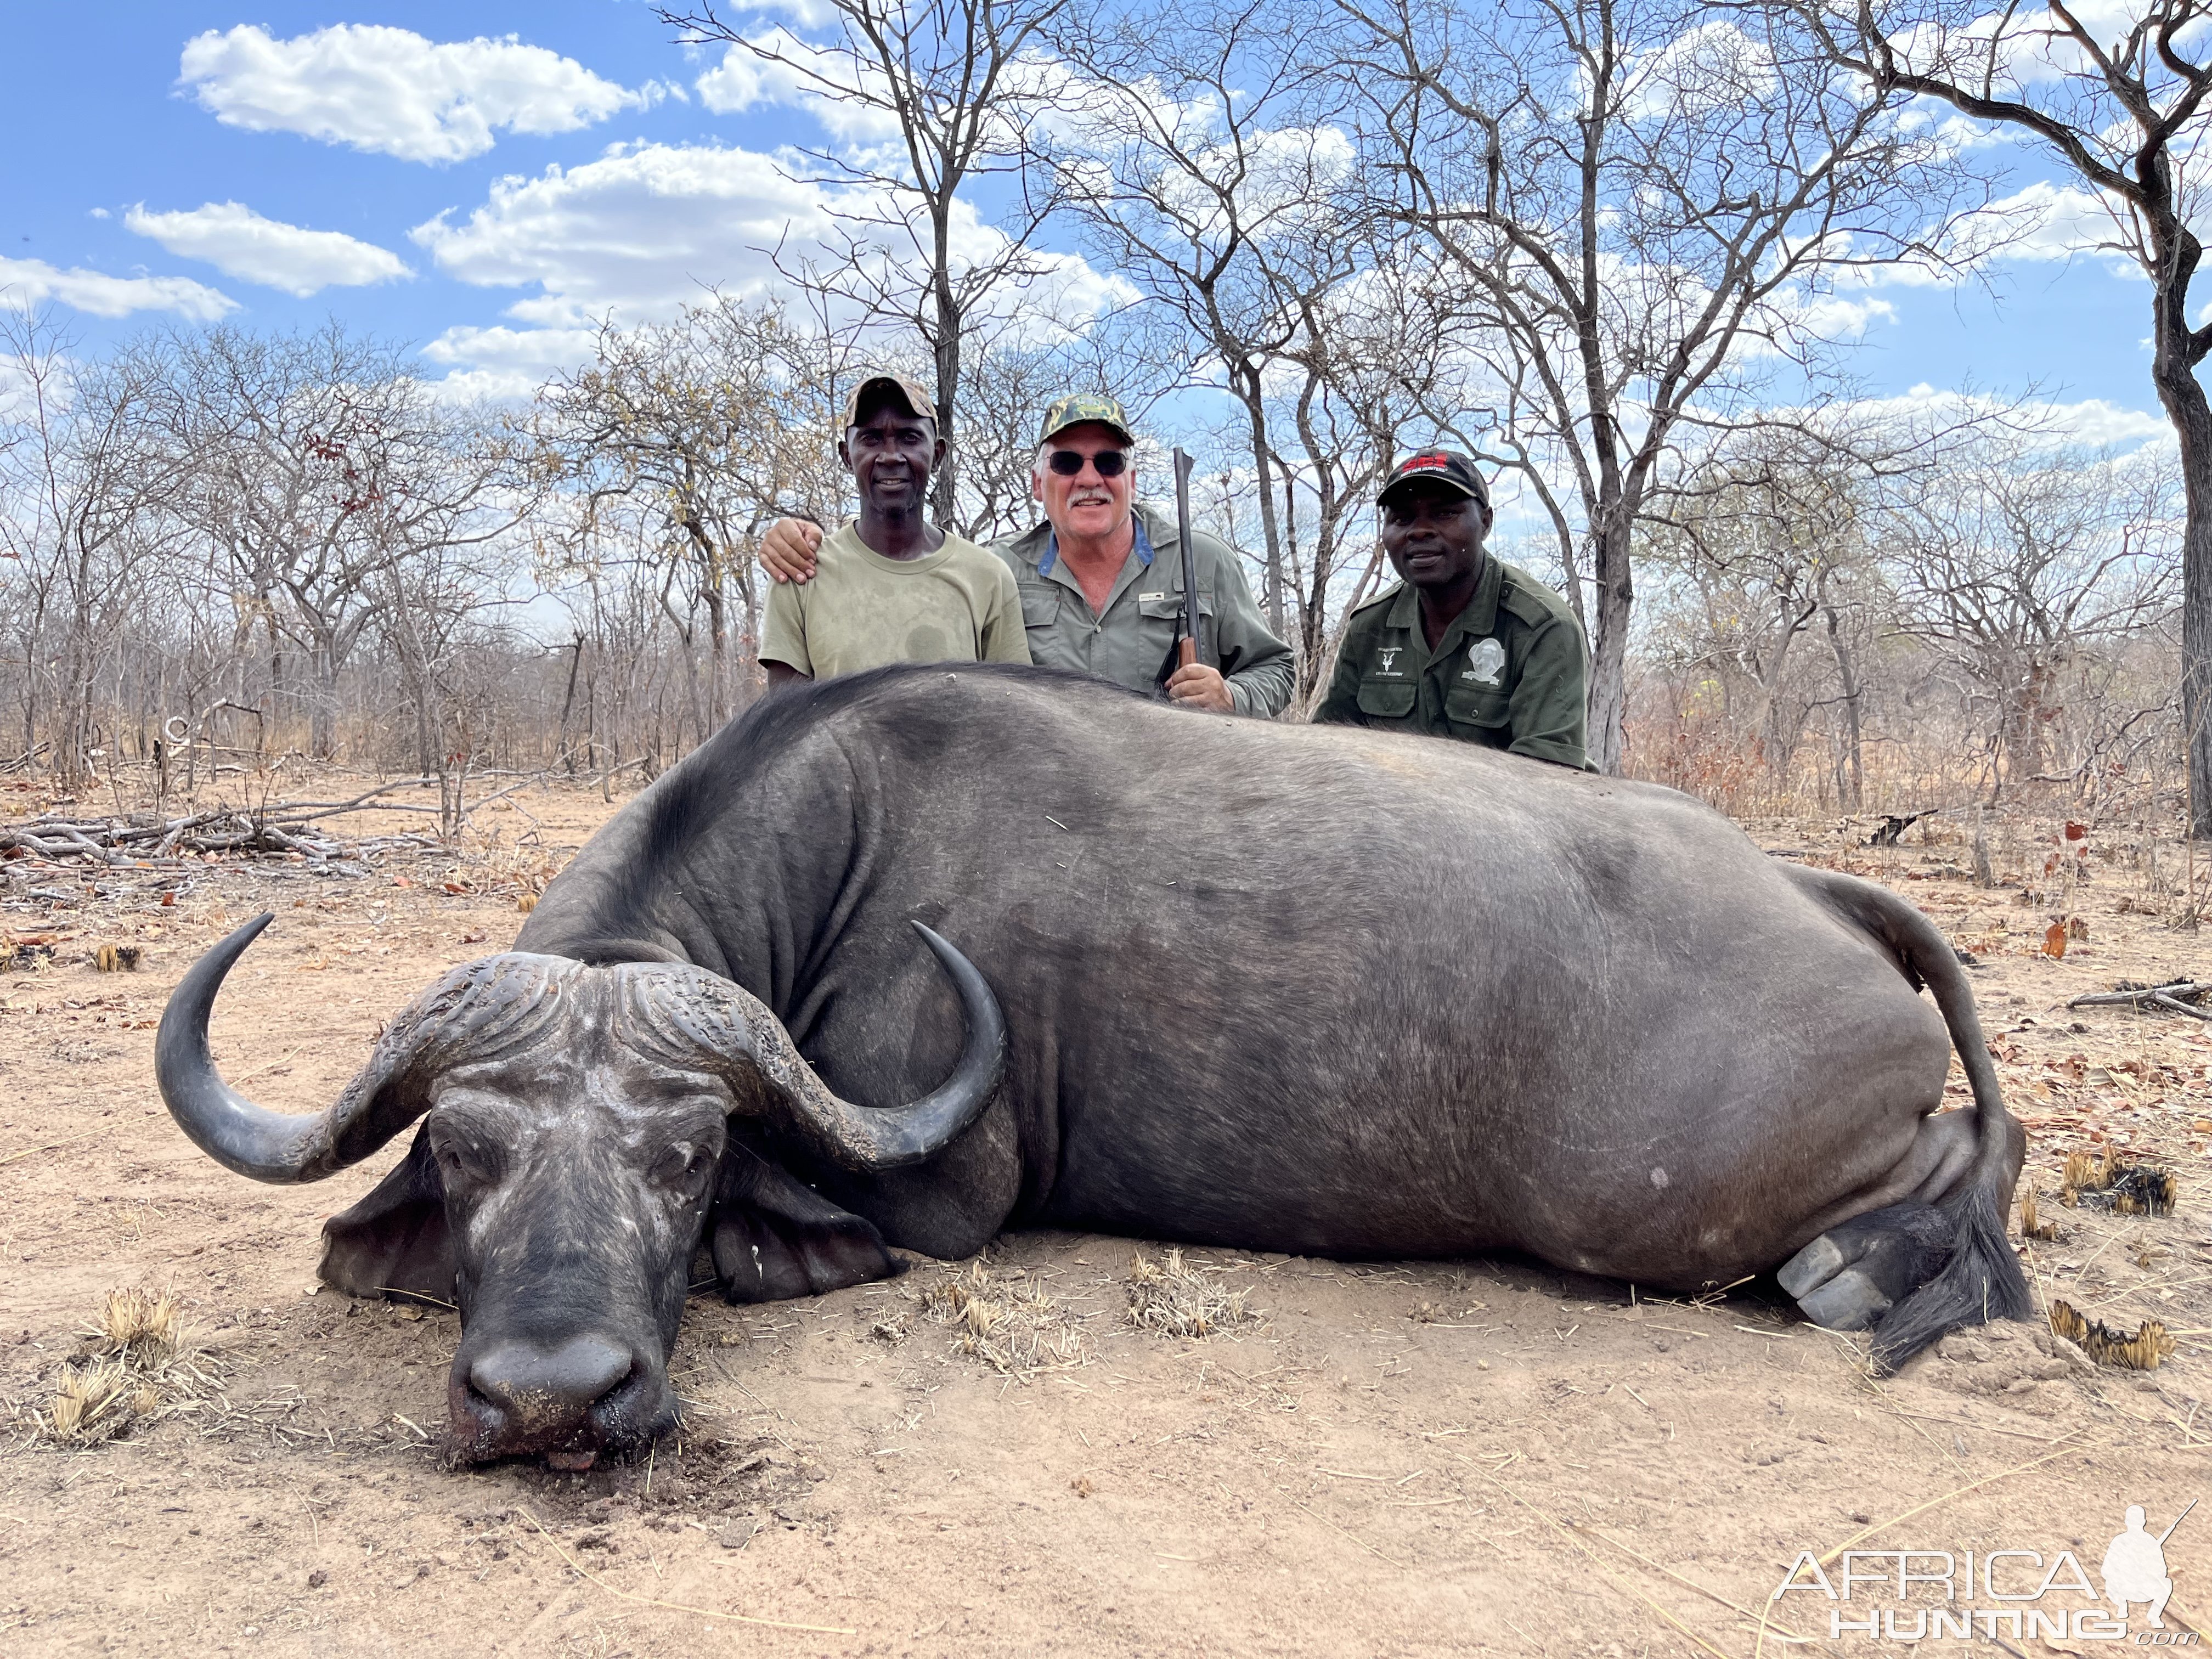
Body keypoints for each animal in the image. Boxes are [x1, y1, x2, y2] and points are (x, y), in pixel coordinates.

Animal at [151, 663, 2026, 1469]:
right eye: (468, 1153)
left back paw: (1862, 1273)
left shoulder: (942, 1201)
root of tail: (1816, 889)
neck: (838, 845)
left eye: (683, 1164)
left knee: (1952, 1172)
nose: (552, 1393)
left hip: (1670, 1199)